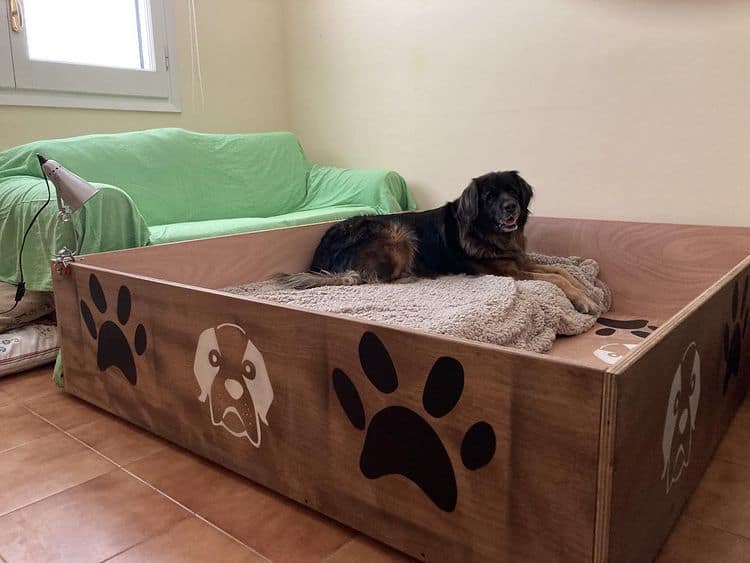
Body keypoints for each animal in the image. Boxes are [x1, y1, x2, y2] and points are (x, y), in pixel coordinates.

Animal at [280, 170, 604, 316]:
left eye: (512, 190)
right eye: (490, 197)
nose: (511, 207)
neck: (489, 233)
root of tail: (319, 257)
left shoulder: (519, 260)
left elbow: (562, 271)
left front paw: (587, 289)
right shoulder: (507, 271)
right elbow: (554, 279)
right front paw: (584, 299)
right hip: (398, 233)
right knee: (371, 278)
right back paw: (411, 277)